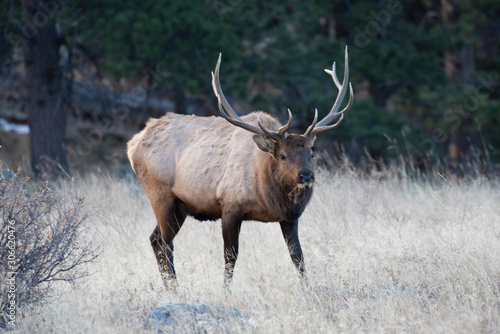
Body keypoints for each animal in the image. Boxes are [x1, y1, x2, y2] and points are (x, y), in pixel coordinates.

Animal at [127, 47, 354, 290]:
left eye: (311, 153)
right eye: (283, 155)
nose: (306, 175)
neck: (266, 192)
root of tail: (133, 143)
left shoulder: (289, 218)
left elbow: (298, 257)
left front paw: (307, 289)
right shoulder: (230, 206)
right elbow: (231, 256)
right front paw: (226, 291)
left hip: (180, 206)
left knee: (155, 239)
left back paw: (170, 288)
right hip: (161, 195)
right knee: (165, 243)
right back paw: (176, 289)